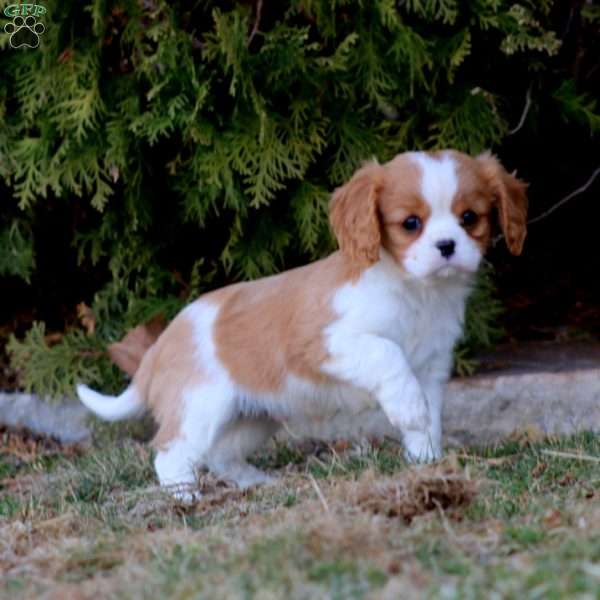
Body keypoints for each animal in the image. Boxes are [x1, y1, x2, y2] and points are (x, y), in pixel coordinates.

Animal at [77, 151, 528, 502]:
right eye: (411, 223)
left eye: (469, 218)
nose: (447, 246)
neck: (416, 290)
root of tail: (162, 342)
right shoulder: (329, 341)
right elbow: (387, 355)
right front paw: (409, 413)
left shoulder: (431, 368)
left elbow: (429, 416)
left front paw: (426, 461)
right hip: (199, 406)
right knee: (171, 451)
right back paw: (183, 495)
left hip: (254, 415)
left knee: (221, 453)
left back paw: (254, 481)